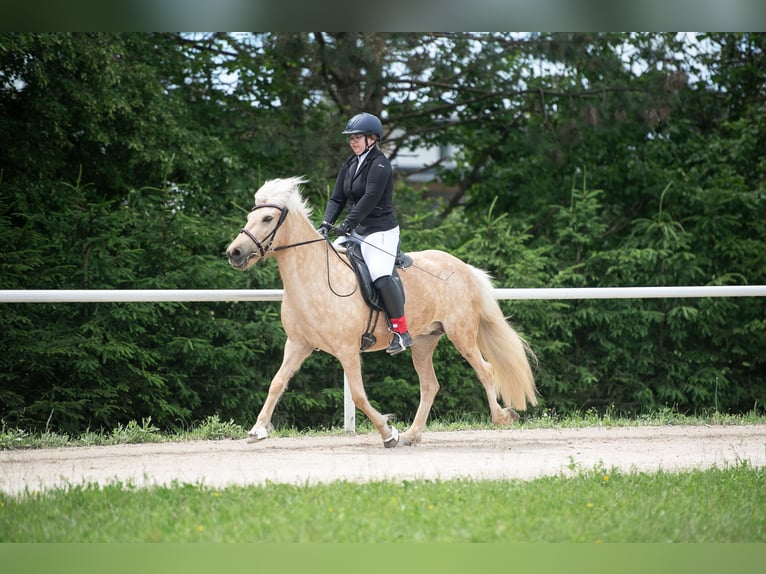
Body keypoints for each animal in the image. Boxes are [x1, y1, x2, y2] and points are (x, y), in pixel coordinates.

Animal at [225, 176, 537, 448]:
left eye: (267, 219)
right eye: (250, 217)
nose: (234, 253)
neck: (312, 277)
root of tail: (464, 268)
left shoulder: (347, 350)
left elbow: (359, 397)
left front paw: (388, 433)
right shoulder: (298, 344)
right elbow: (276, 383)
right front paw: (258, 430)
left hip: (461, 334)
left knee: (485, 370)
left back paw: (502, 417)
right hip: (423, 340)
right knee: (430, 385)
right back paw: (412, 435)